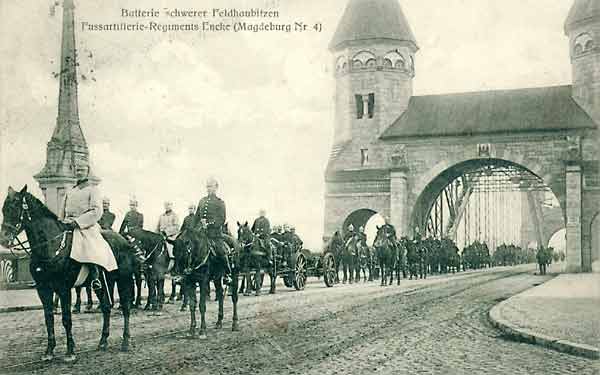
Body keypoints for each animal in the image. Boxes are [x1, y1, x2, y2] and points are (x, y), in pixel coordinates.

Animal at [0, 187, 137, 362]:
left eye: (15, 207)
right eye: (4, 209)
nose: (4, 239)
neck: (51, 246)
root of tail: (124, 240)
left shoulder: (63, 289)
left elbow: (66, 319)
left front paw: (70, 351)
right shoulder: (43, 289)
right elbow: (49, 317)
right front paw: (49, 351)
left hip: (123, 280)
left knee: (125, 307)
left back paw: (126, 341)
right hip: (104, 283)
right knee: (106, 306)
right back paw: (103, 342)